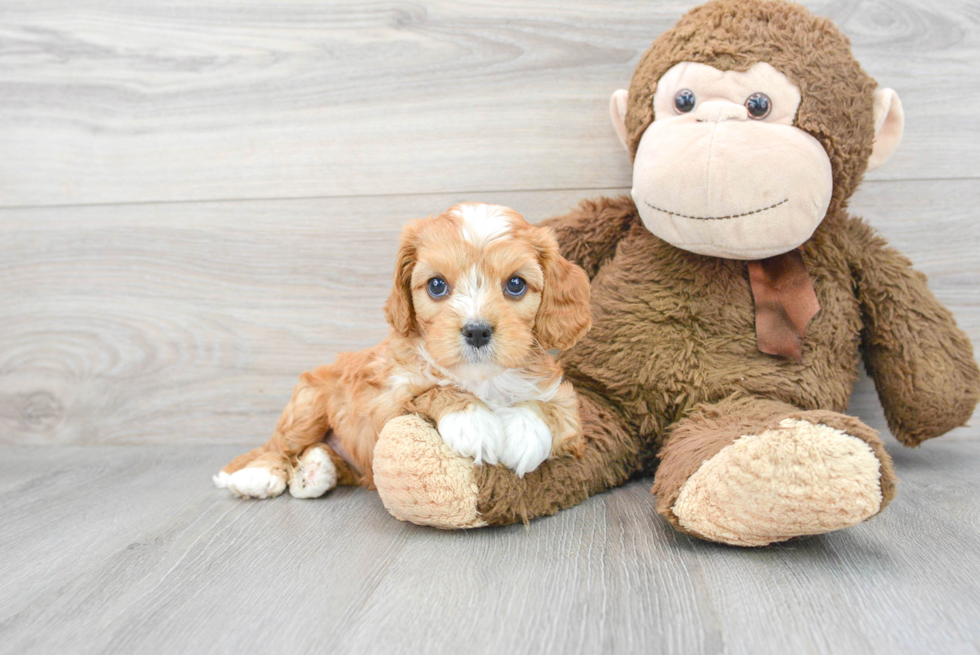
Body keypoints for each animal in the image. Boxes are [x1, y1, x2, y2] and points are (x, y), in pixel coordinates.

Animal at [213, 202, 588, 500]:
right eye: (437, 285)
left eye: (516, 284)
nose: (477, 331)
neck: (481, 380)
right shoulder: (386, 401)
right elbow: (433, 390)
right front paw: (472, 420)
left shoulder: (570, 414)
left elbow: (549, 409)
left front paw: (525, 432)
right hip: (308, 403)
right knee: (281, 444)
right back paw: (260, 474)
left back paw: (314, 472)